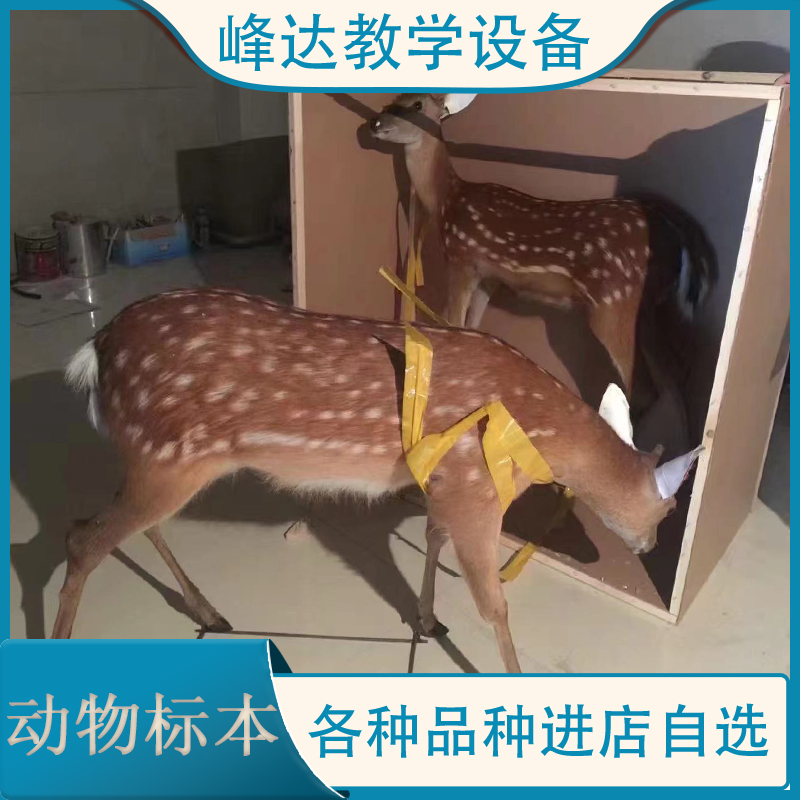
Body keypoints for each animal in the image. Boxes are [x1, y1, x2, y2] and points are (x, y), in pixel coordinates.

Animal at [54, 287, 701, 672]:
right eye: (668, 512)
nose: (649, 546)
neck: (532, 432)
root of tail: (95, 349)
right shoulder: (474, 488)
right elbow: (493, 605)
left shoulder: (445, 483)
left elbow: (434, 539)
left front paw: (428, 619)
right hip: (168, 457)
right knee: (83, 539)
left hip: (156, 460)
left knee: (116, 527)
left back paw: (210, 612)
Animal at [369, 93, 715, 397]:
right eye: (392, 100)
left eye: (417, 104)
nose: (374, 123)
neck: (446, 200)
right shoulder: (490, 277)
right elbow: (474, 326)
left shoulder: (462, 255)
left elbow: (451, 321)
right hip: (651, 310)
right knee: (672, 382)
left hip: (617, 301)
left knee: (641, 387)